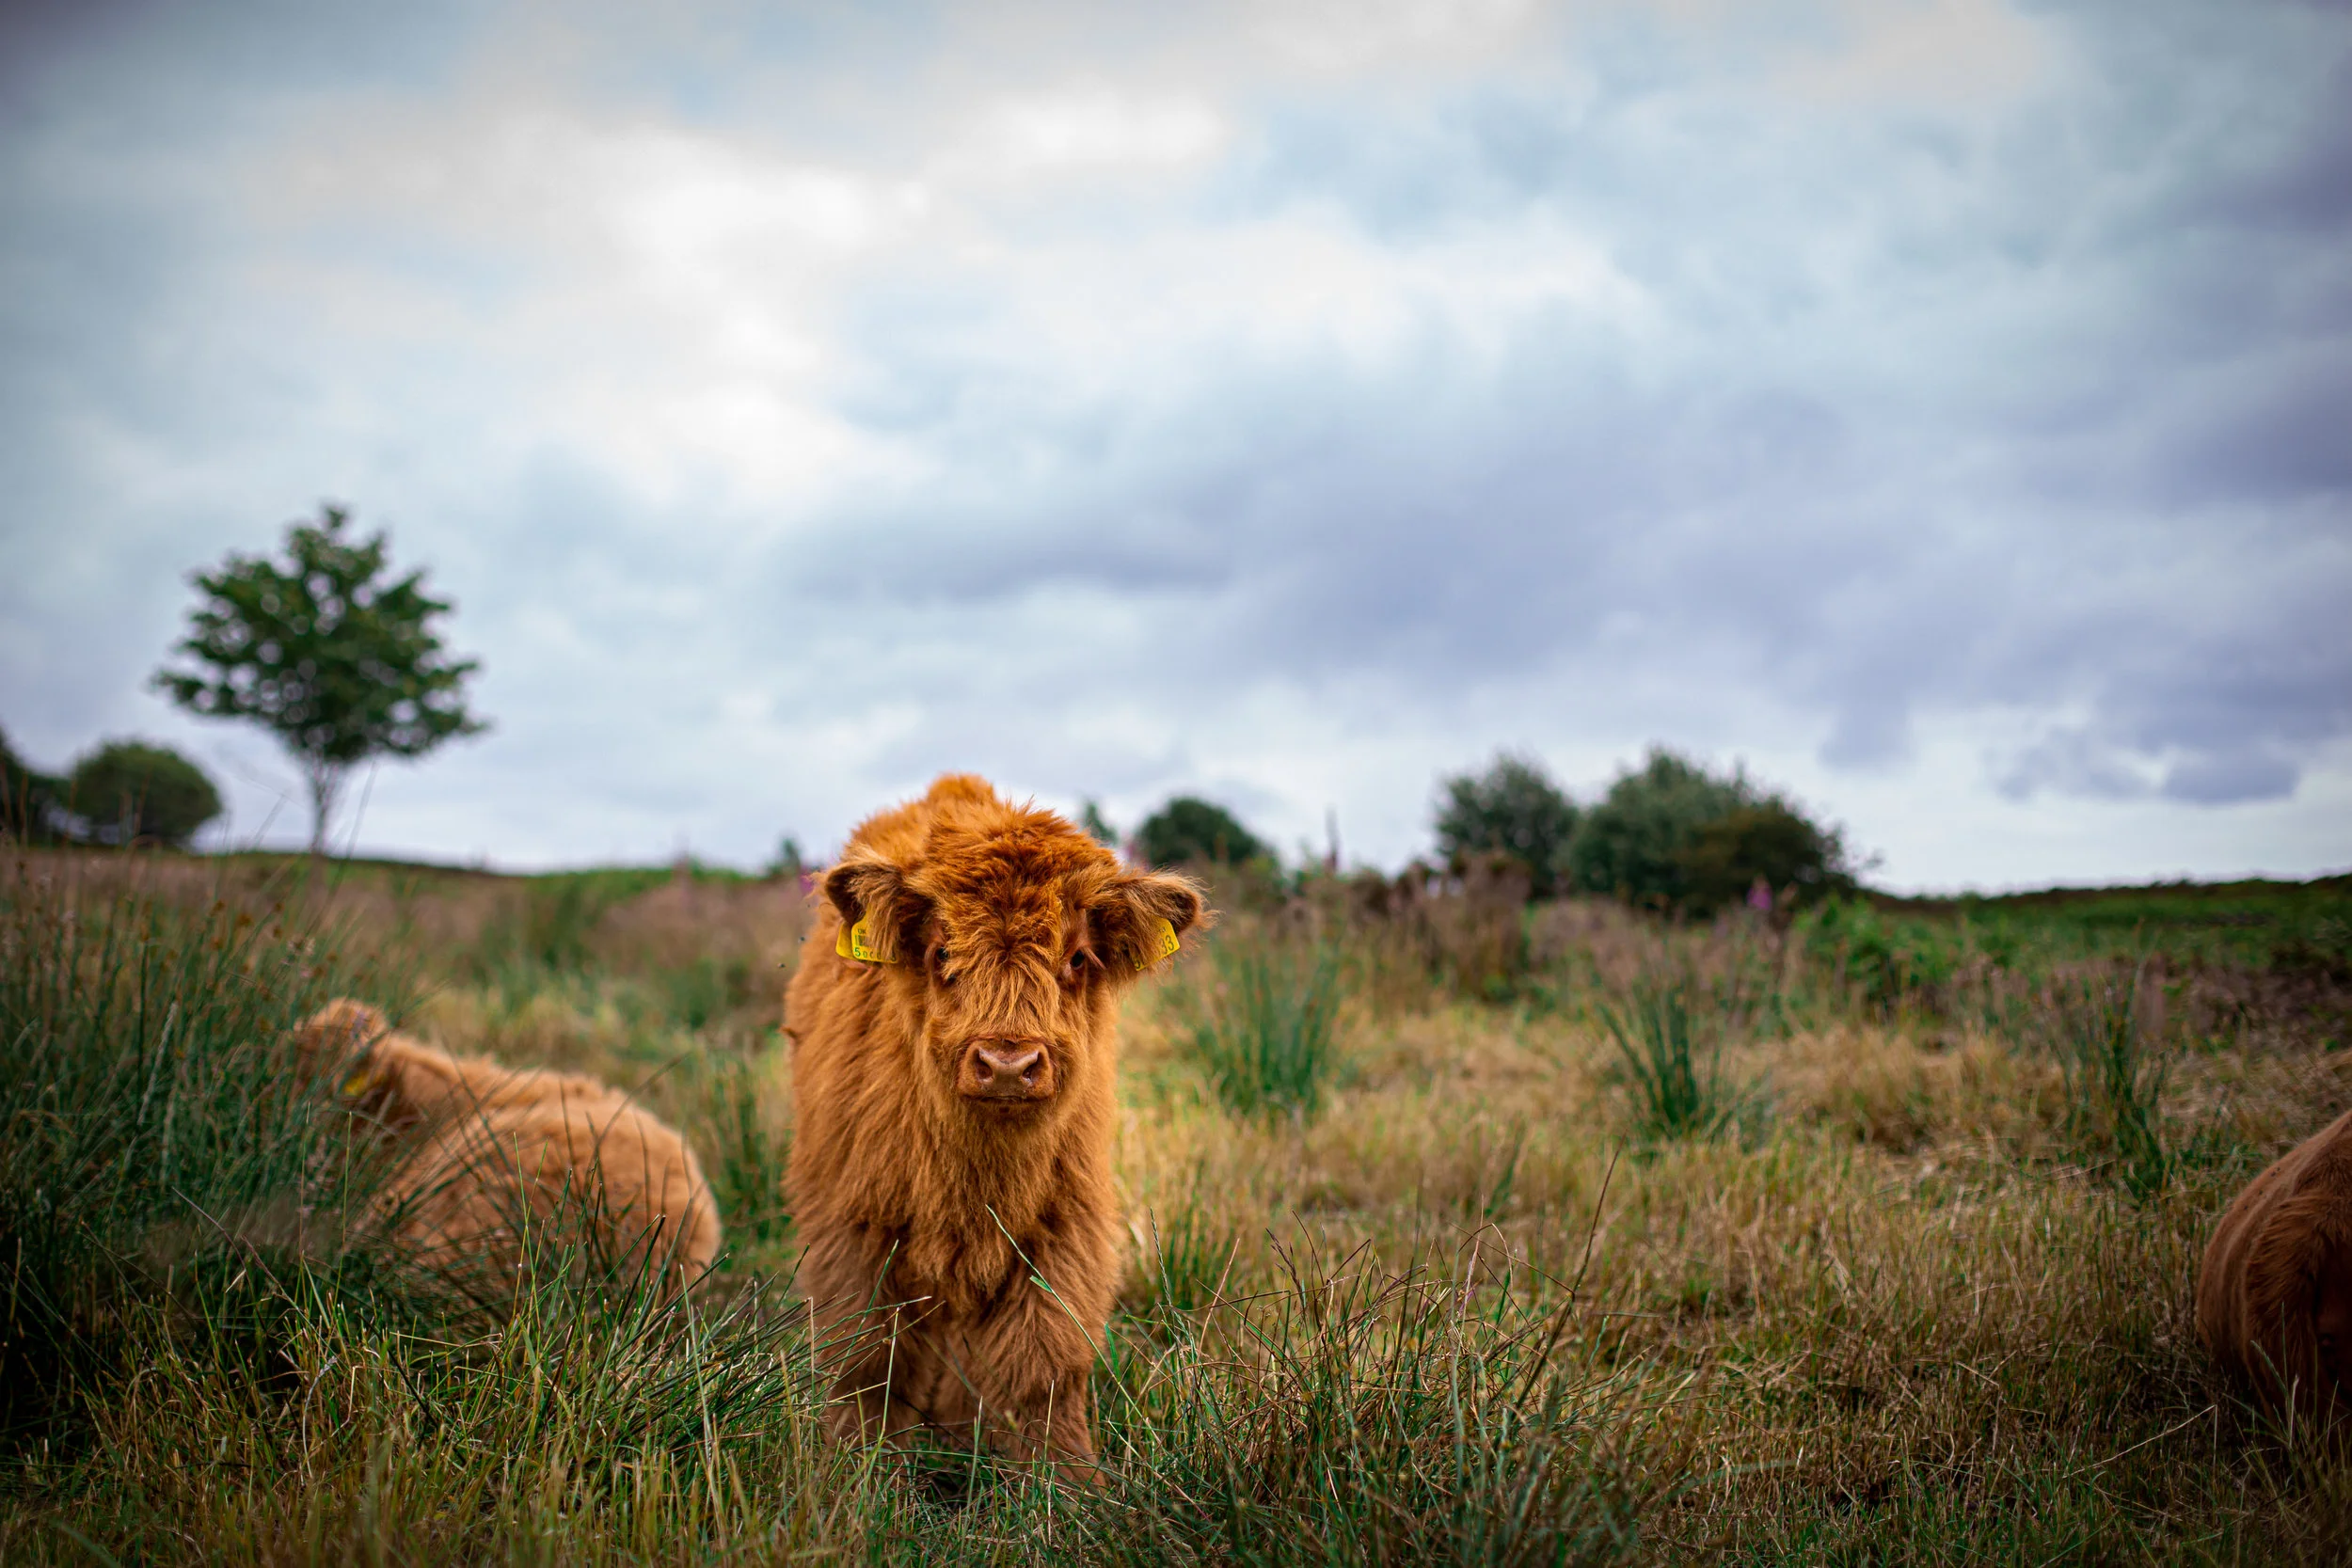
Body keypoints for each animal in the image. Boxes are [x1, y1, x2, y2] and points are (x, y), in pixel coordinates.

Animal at [784, 774, 1208, 1480]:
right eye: (942, 952)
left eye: (1077, 958)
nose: (1008, 1063)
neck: (977, 1176)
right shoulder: (855, 1225)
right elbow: (867, 1360)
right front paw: (853, 1472)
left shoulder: (1062, 1224)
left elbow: (1046, 1364)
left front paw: (1070, 1483)